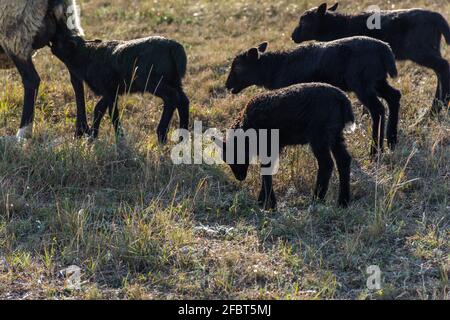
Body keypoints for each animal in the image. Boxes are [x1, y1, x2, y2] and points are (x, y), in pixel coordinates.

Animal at [0, 0, 87, 140]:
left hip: (15, 33)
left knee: (31, 80)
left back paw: (23, 133)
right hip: (66, 24)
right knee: (76, 78)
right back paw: (81, 130)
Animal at [49, 31, 190, 144]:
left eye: (61, 40)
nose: (52, 40)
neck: (86, 55)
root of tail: (174, 46)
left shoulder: (109, 90)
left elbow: (112, 113)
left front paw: (119, 137)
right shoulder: (111, 91)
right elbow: (99, 109)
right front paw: (93, 136)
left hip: (154, 82)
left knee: (172, 97)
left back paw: (162, 135)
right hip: (174, 80)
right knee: (183, 100)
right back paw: (183, 136)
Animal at [219, 82, 356, 210]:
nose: (239, 177)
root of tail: (343, 99)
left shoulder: (268, 145)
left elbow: (266, 170)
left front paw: (270, 205)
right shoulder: (274, 147)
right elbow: (268, 169)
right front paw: (262, 201)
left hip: (319, 134)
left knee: (326, 164)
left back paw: (317, 199)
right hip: (335, 134)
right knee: (344, 160)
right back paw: (343, 202)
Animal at [227, 38, 400, 158]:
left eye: (238, 67)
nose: (227, 85)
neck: (274, 68)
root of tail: (385, 50)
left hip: (361, 82)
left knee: (378, 109)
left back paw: (375, 151)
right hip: (378, 80)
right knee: (394, 96)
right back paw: (391, 141)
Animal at [292, 2, 450, 112]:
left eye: (304, 22)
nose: (292, 36)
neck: (338, 26)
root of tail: (435, 16)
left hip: (419, 50)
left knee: (443, 66)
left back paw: (437, 107)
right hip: (432, 47)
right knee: (439, 71)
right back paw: (439, 105)